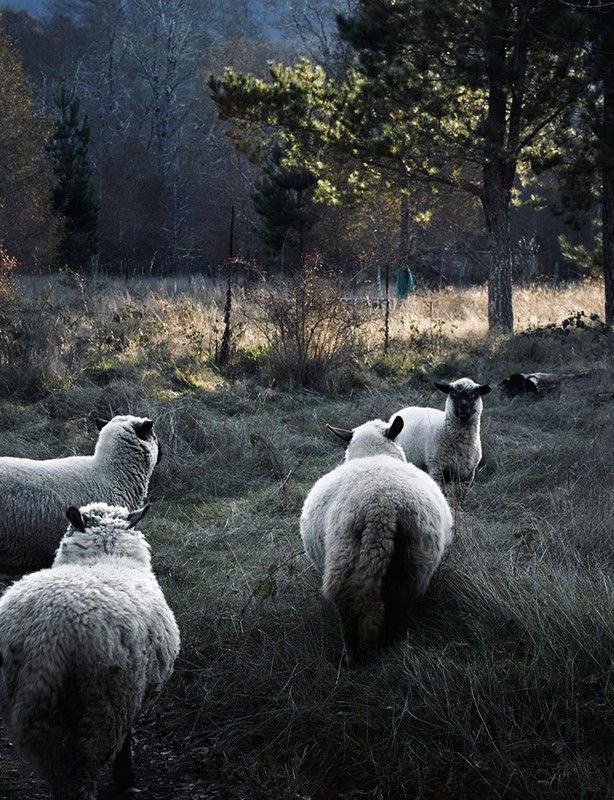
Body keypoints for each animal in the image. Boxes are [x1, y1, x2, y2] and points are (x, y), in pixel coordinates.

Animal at [0, 501, 180, 800]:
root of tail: (47, 640)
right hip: (103, 705)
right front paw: (125, 775)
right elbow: (128, 736)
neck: (103, 557)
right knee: (79, 775)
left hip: (35, 713)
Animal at [300, 416, 453, 667]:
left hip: (344, 559)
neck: (374, 454)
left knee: (349, 613)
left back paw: (353, 661)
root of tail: (382, 508)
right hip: (413, 565)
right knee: (395, 608)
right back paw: (389, 647)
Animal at [390, 377, 491, 506]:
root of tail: (405, 408)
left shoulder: (467, 475)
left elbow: (459, 498)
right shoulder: (437, 470)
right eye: (453, 392)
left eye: (474, 393)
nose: (463, 406)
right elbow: (443, 494)